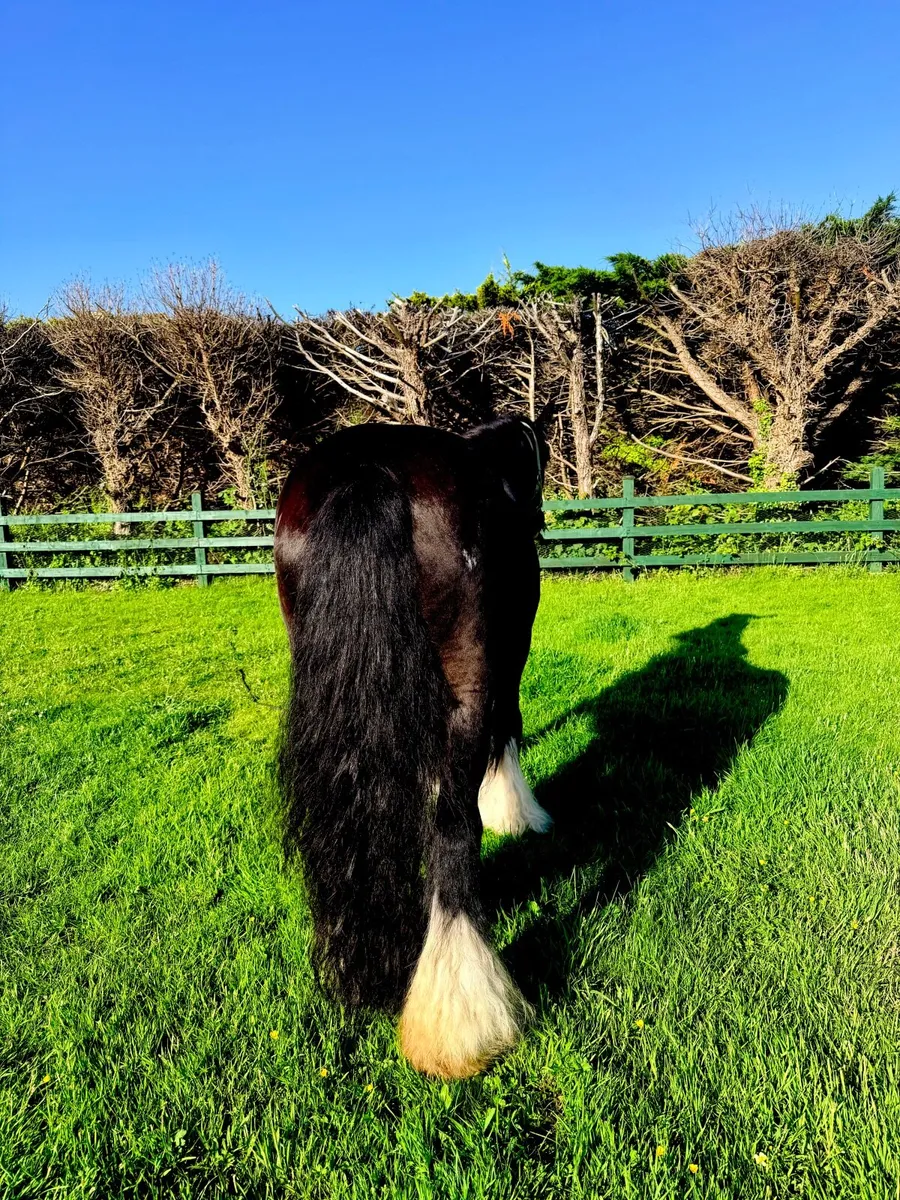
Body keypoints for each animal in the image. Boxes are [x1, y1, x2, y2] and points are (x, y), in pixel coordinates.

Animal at [274, 414, 552, 1079]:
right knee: (453, 830)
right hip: (470, 680)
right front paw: (515, 810)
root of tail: (365, 469)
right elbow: (509, 724)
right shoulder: (508, 656)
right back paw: (461, 1017)